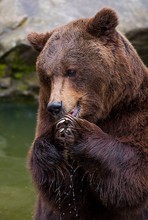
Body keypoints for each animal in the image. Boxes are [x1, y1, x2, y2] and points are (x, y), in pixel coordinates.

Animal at [27, 7, 147, 219]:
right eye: (47, 76)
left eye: (71, 71)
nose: (55, 106)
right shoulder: (43, 117)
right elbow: (66, 195)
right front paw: (55, 140)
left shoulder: (134, 112)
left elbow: (134, 172)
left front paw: (78, 131)